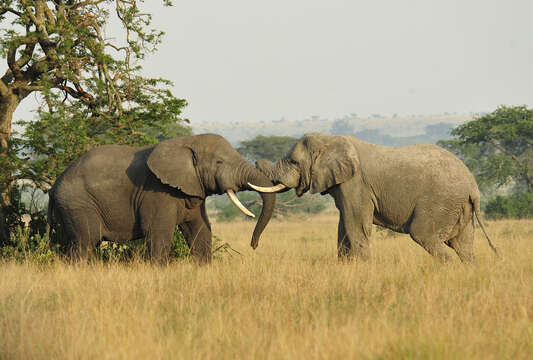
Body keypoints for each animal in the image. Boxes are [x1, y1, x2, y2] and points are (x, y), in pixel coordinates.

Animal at [47, 134, 276, 262]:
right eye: (219, 162)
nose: (253, 245)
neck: (186, 143)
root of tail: (54, 185)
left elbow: (201, 231)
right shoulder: (157, 192)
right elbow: (158, 232)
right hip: (78, 203)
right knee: (85, 242)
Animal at [249, 132, 498, 262]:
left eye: (293, 161)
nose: (253, 247)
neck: (330, 140)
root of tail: (473, 187)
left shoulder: (355, 184)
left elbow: (356, 226)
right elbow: (344, 227)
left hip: (440, 202)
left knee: (424, 235)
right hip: (459, 207)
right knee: (464, 246)